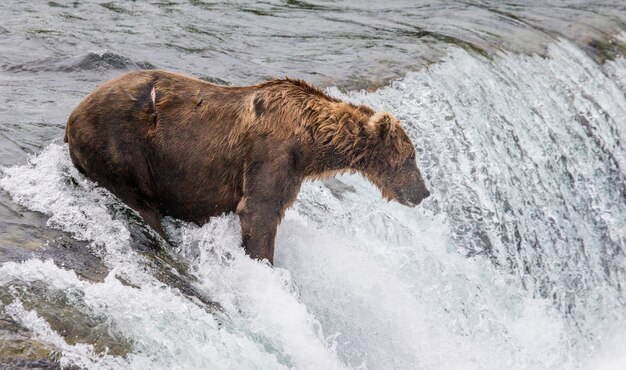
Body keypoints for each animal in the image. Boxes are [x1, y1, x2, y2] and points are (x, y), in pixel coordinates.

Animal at [66, 70, 428, 264]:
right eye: (411, 156)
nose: (423, 192)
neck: (310, 143)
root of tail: (72, 118)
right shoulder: (271, 156)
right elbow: (259, 213)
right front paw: (264, 261)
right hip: (123, 150)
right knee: (142, 203)